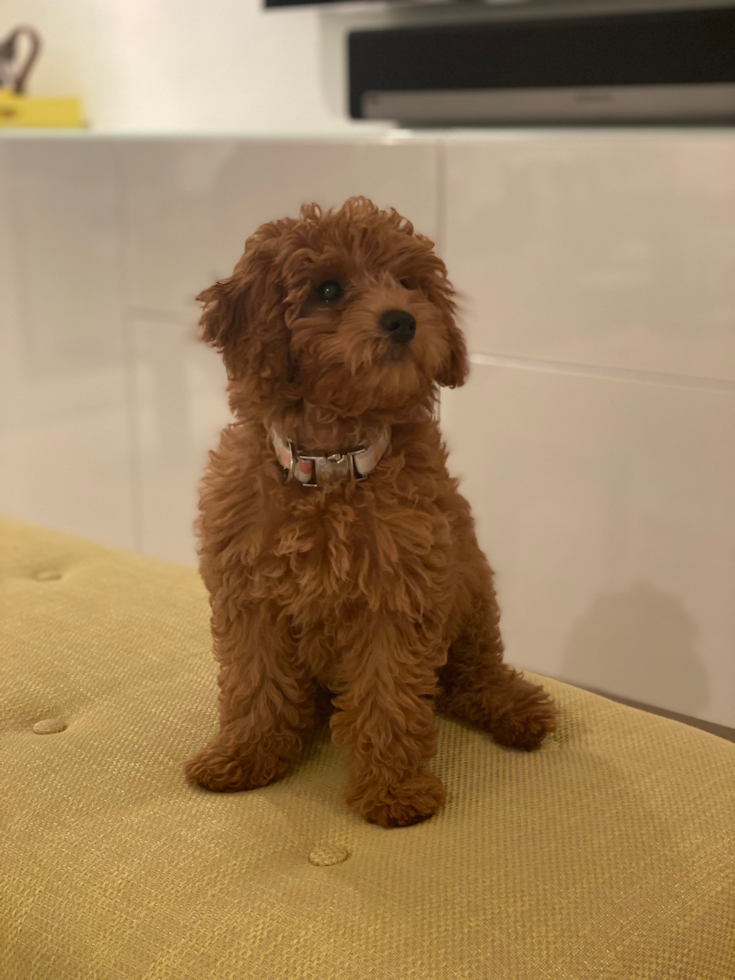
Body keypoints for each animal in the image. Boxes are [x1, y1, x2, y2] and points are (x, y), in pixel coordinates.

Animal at [185, 197, 556, 828]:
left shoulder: (397, 595)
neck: (333, 464)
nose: (403, 319)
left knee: (473, 672)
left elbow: (389, 695)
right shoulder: (249, 594)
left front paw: (393, 793)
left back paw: (518, 709)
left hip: (473, 593)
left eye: (409, 284)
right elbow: (255, 681)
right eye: (328, 289)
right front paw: (243, 756)